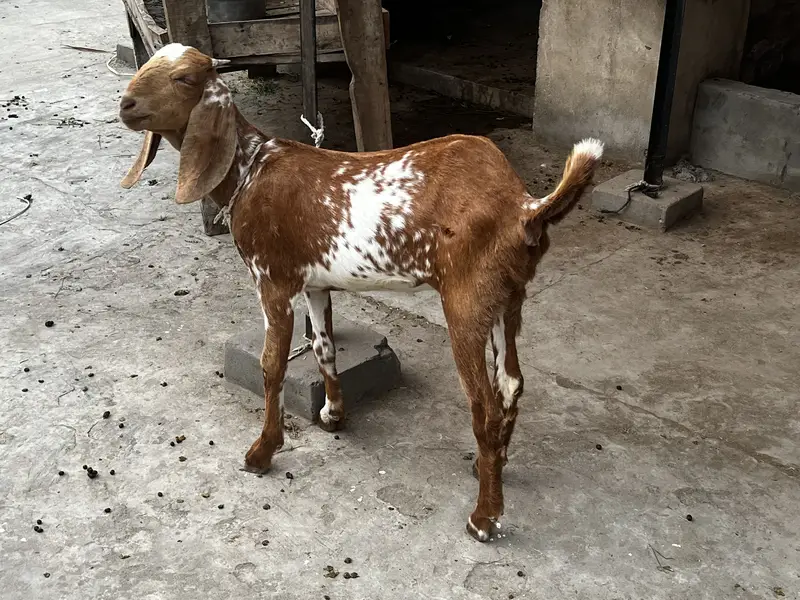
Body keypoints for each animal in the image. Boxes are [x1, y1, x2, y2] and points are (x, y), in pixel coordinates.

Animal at [118, 43, 603, 542]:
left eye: (184, 79)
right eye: (147, 63)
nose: (126, 105)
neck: (250, 169)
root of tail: (524, 206)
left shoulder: (272, 279)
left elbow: (272, 365)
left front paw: (262, 451)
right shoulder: (315, 283)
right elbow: (324, 347)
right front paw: (334, 414)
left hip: (466, 301)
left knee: (482, 405)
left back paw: (484, 516)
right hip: (507, 297)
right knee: (511, 383)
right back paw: (493, 468)